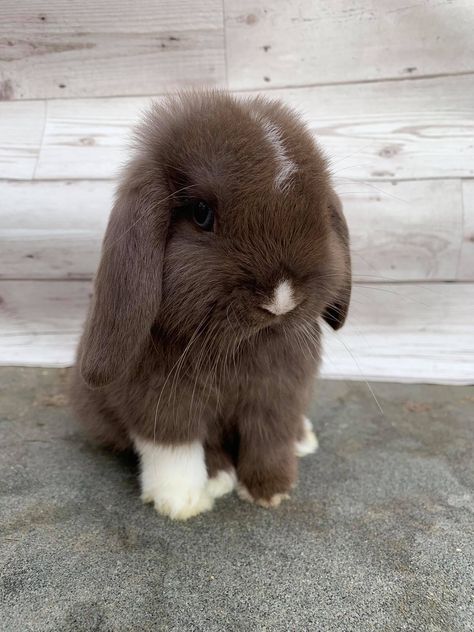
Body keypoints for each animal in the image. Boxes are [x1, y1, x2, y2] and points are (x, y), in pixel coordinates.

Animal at [70, 91, 352, 520]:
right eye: (201, 214)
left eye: (320, 212)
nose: (281, 297)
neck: (238, 346)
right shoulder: (162, 401)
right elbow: (174, 447)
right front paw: (181, 502)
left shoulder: (278, 395)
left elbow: (270, 437)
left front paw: (271, 490)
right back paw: (217, 475)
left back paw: (301, 440)